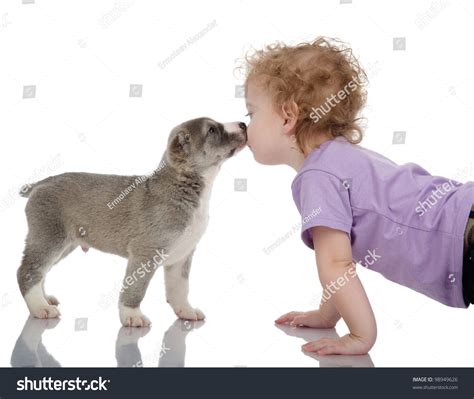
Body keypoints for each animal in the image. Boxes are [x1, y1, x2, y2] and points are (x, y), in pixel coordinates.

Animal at [17, 118, 248, 328]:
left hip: (63, 244)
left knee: (40, 271)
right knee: (27, 271)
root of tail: (42, 182)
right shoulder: (144, 254)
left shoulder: (182, 256)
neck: (182, 186)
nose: (244, 124)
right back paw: (39, 307)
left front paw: (185, 310)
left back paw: (44, 299)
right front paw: (131, 315)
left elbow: (179, 289)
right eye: (211, 130)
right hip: (49, 239)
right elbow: (136, 289)